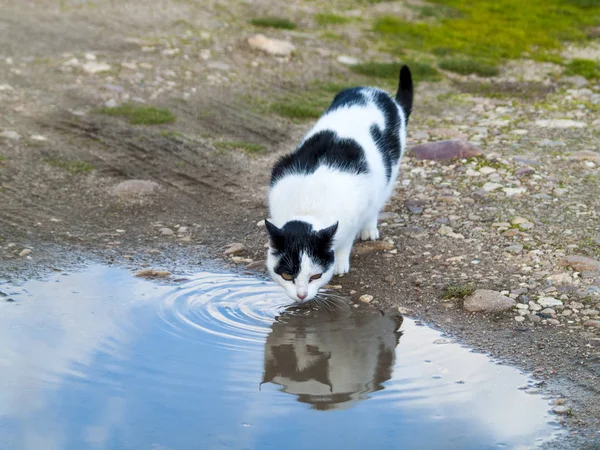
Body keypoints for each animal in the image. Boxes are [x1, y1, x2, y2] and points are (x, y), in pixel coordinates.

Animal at [266, 66, 412, 302]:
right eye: (287, 275)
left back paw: (369, 229)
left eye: (315, 276)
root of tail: (378, 92)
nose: (301, 295)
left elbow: (346, 240)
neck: (308, 206)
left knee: (378, 201)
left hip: (389, 172)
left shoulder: (355, 208)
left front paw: (340, 262)